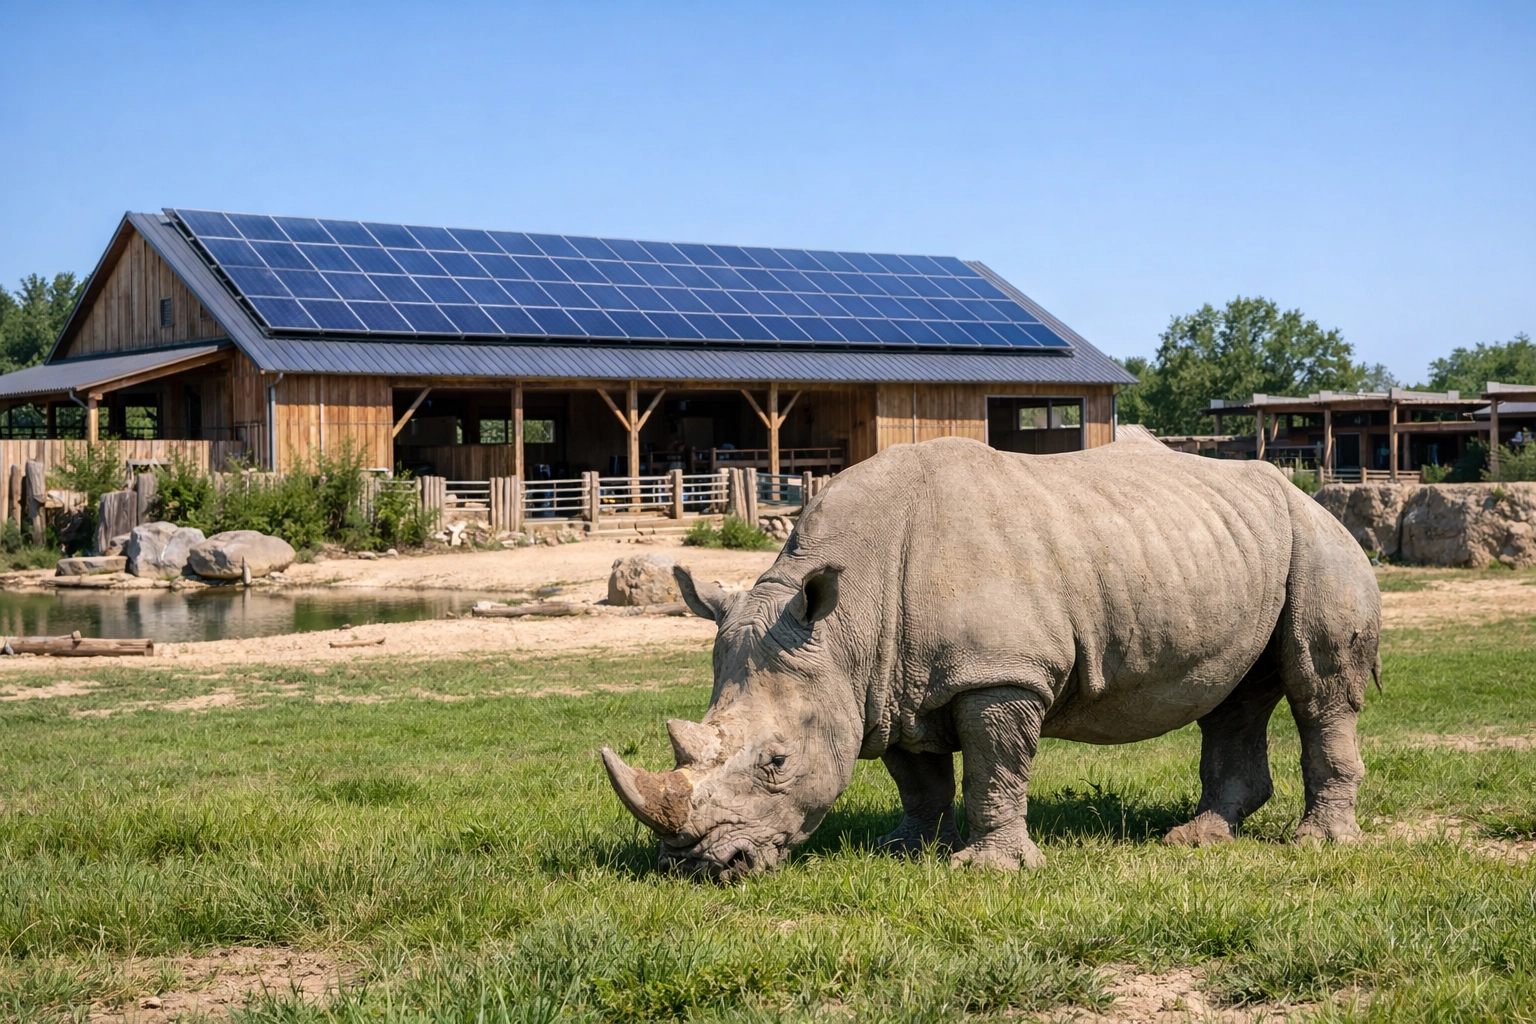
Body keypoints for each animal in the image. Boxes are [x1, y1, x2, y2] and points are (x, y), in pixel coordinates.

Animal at [602, 435, 1379, 878]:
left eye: (776, 762)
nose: (696, 866)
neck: (848, 622)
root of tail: (1306, 490)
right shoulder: (883, 682)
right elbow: (917, 778)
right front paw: (903, 849)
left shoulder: (998, 675)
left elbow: (993, 769)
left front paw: (988, 870)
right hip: (1235, 547)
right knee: (1233, 695)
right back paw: (1194, 842)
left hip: (1319, 539)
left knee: (1319, 689)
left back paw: (1319, 847)